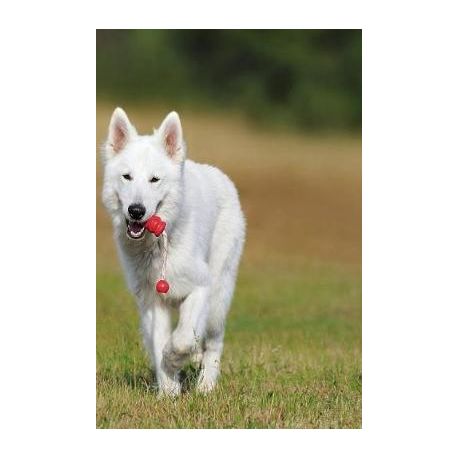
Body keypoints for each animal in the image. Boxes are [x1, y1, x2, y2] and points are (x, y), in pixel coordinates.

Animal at [102, 108, 246, 396]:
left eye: (154, 180)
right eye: (127, 177)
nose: (136, 211)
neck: (158, 243)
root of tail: (221, 177)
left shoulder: (201, 287)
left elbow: (181, 339)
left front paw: (175, 360)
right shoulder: (152, 301)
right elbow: (160, 342)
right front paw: (169, 390)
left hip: (218, 296)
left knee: (214, 342)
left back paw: (206, 386)